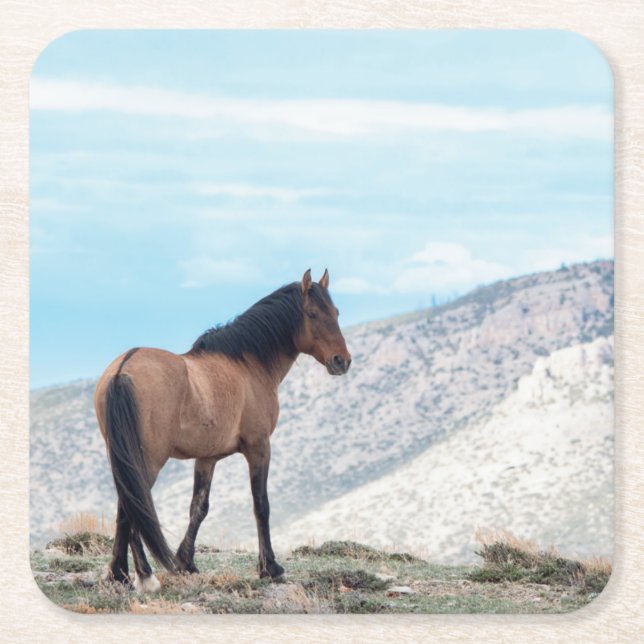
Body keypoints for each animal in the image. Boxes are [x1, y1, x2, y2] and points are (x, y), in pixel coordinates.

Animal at [94, 269, 351, 592]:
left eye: (337, 312)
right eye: (313, 314)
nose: (342, 361)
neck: (247, 364)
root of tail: (122, 370)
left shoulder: (207, 458)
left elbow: (199, 507)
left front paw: (186, 562)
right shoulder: (259, 447)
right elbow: (261, 505)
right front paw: (270, 568)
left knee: (125, 507)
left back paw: (120, 573)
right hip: (148, 459)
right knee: (134, 505)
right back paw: (145, 576)